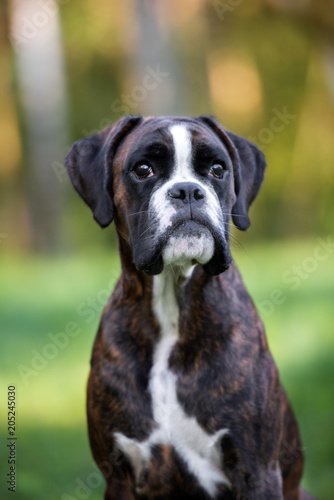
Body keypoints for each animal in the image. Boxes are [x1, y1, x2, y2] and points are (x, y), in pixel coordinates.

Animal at [64, 116, 316, 500]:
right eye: (143, 169)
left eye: (217, 169)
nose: (187, 191)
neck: (171, 311)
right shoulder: (118, 477)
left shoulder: (257, 472)